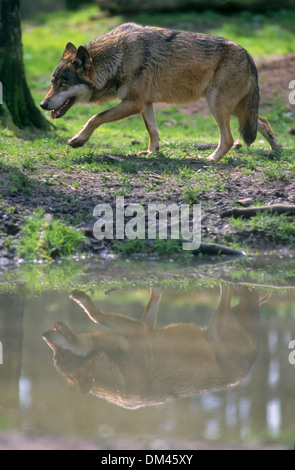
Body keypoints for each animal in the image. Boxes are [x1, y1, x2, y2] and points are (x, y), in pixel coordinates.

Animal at [40, 23, 282, 162]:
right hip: (233, 108)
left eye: (63, 84)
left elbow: (95, 117)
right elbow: (153, 131)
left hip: (217, 105)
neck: (118, 57)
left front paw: (78, 140)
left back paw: (211, 159)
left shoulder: (134, 103)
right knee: (263, 121)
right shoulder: (145, 104)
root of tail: (249, 55)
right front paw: (151, 153)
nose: (42, 105)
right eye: (52, 82)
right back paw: (276, 151)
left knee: (230, 139)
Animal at [41, 284, 270, 410]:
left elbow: (96, 316)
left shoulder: (140, 330)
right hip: (234, 312)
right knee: (254, 295)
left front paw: (83, 300)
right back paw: (262, 295)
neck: (116, 371)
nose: (44, 336)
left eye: (63, 355)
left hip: (219, 317)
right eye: (55, 358)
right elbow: (155, 298)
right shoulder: (146, 328)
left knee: (228, 289)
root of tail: (249, 366)